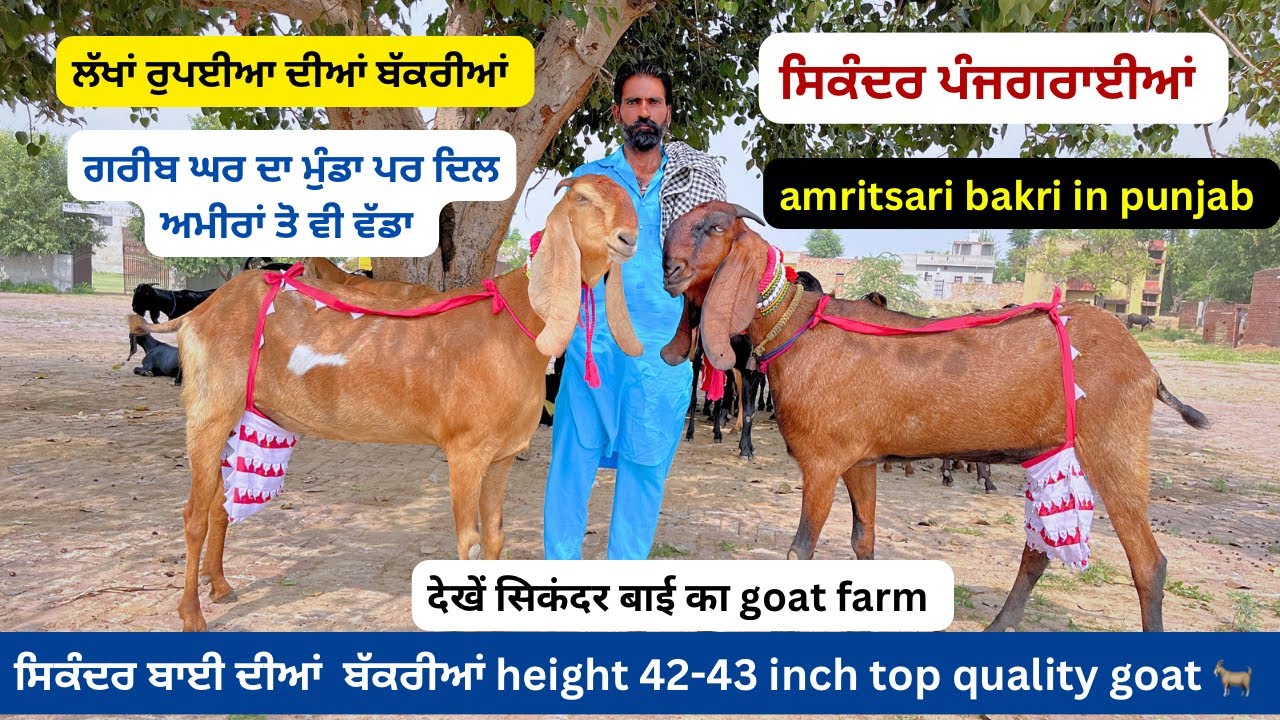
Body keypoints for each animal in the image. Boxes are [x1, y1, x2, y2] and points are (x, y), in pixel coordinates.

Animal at [130, 175, 642, 631]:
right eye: (582, 198)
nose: (628, 239)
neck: (514, 322)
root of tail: (202, 310)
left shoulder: (501, 455)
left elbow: (496, 538)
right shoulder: (466, 450)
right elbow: (470, 544)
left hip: (239, 412)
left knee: (217, 503)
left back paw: (220, 586)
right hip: (208, 407)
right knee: (193, 514)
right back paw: (192, 615)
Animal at [660, 201, 1209, 632]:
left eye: (714, 227)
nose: (669, 269)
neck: (801, 326)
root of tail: (1145, 365)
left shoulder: (822, 460)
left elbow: (800, 552)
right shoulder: (859, 460)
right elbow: (864, 541)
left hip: (1113, 448)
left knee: (1148, 562)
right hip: (1053, 453)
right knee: (1038, 551)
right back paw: (998, 626)